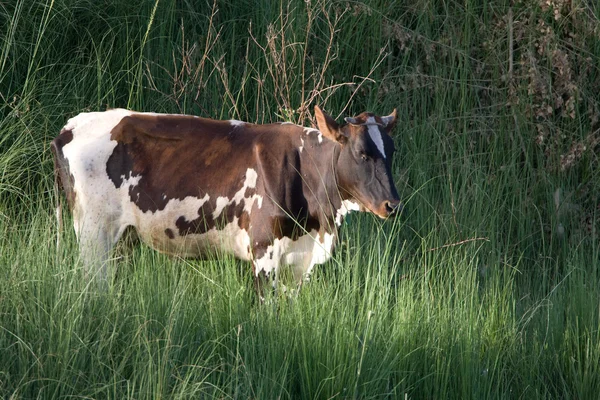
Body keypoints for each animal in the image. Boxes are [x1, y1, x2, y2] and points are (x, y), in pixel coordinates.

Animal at [50, 106, 398, 294]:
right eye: (362, 153)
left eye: (392, 152)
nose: (393, 204)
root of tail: (70, 127)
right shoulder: (264, 251)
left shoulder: (299, 260)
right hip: (94, 233)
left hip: (121, 239)